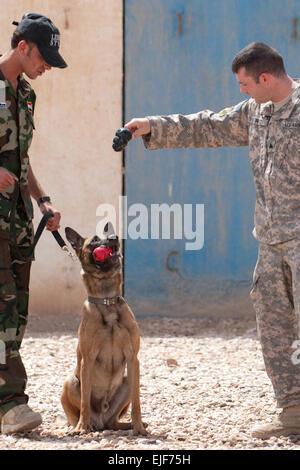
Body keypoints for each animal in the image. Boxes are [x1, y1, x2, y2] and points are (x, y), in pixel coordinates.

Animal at [60, 222, 147, 436]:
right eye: (95, 240)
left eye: (109, 234)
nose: (115, 238)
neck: (107, 301)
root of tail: (100, 421)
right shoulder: (88, 359)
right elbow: (84, 401)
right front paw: (82, 428)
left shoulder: (133, 359)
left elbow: (137, 402)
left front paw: (139, 427)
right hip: (71, 382)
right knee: (78, 414)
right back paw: (81, 426)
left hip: (126, 381)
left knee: (113, 422)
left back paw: (127, 425)